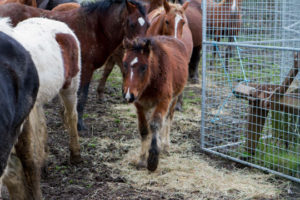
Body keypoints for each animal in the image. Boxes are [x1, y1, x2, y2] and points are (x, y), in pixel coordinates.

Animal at [0, 0, 150, 130]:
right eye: (131, 24)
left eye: (148, 25)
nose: (141, 48)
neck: (95, 28)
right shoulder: (87, 69)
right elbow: (82, 96)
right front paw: (79, 125)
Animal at [121, 35, 188, 170]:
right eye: (124, 64)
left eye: (144, 67)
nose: (128, 95)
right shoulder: (140, 105)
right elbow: (144, 129)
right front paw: (142, 159)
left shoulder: (164, 101)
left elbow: (155, 124)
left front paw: (153, 159)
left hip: (174, 98)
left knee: (168, 119)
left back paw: (165, 146)